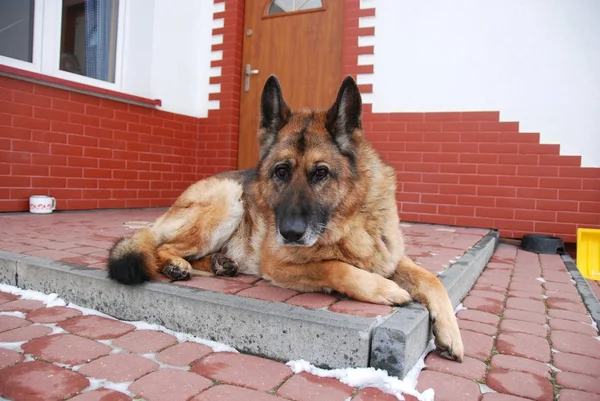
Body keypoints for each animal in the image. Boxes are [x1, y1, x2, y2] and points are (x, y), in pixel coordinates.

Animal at [108, 75, 464, 360]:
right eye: (281, 172)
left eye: (320, 173)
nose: (289, 233)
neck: (349, 221)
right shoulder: (279, 263)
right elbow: (333, 267)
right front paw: (385, 289)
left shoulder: (389, 256)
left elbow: (431, 280)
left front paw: (451, 333)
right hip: (229, 201)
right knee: (161, 246)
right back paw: (177, 264)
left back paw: (219, 264)